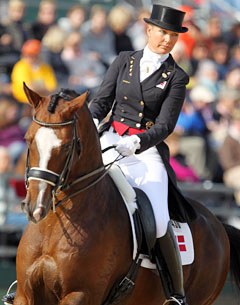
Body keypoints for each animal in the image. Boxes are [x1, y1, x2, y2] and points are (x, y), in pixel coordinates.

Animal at [13, 82, 240, 302]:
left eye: (68, 146)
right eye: (27, 139)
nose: (35, 207)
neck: (52, 226)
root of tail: (217, 224)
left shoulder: (80, 294)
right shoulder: (25, 294)